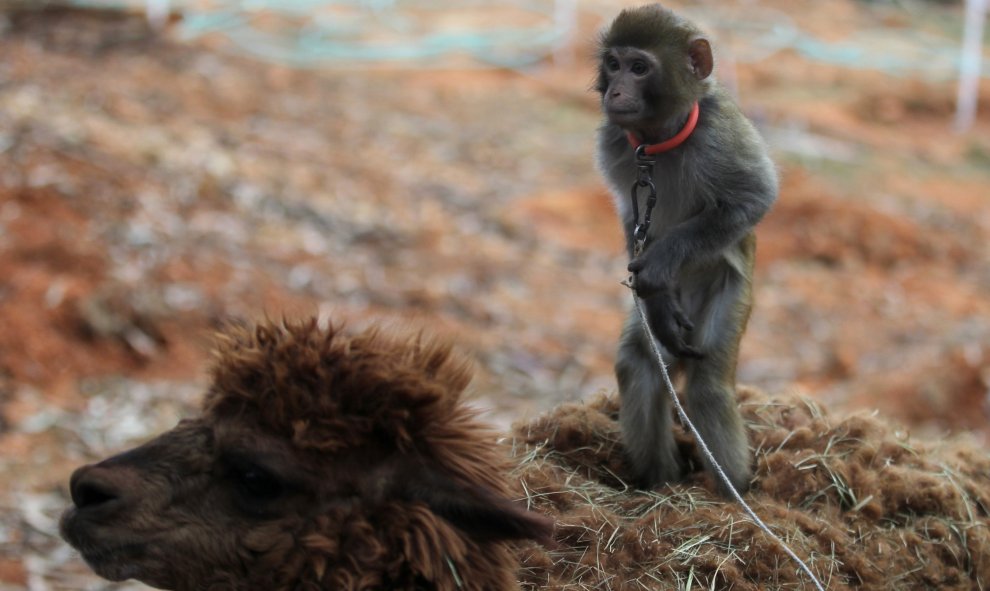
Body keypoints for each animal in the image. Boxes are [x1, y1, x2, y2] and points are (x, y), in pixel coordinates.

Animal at [596, 4, 784, 498]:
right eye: (613, 64)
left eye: (639, 68)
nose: (616, 90)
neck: (661, 138)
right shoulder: (613, 144)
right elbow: (631, 215)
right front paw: (659, 299)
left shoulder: (722, 133)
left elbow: (753, 198)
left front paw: (661, 266)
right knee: (638, 360)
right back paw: (660, 485)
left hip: (730, 294)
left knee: (707, 388)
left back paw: (732, 493)